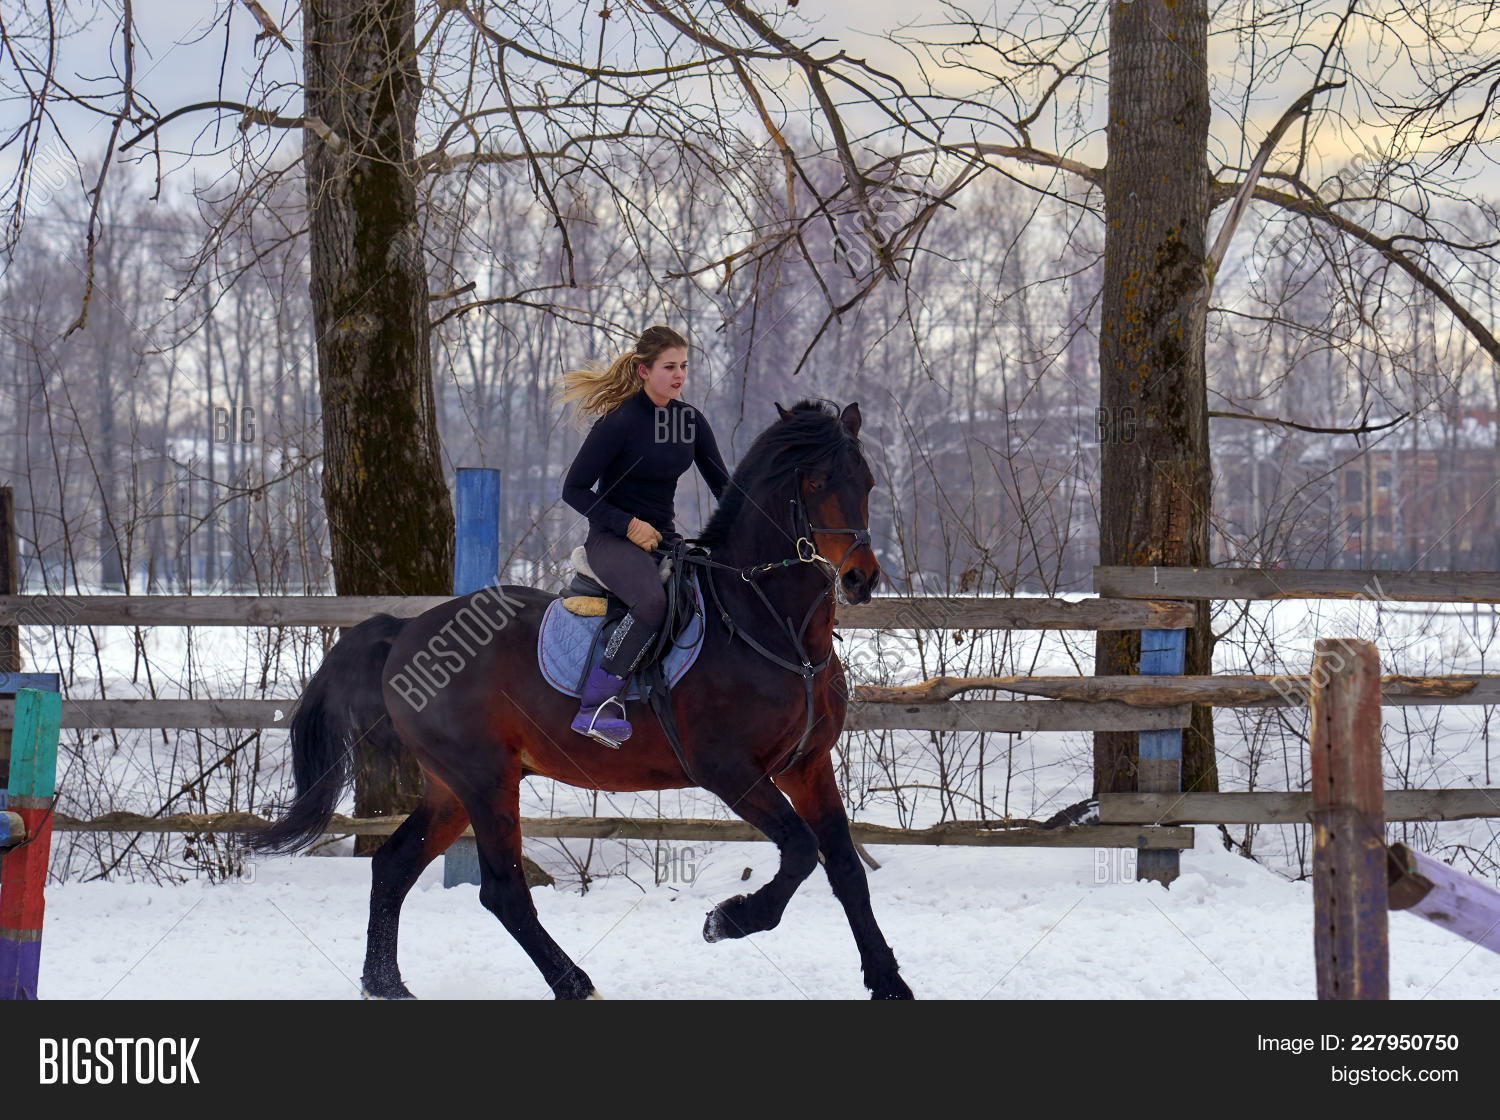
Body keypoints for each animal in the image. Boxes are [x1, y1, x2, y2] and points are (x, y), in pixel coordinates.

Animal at [247, 399, 913, 999]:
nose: (860, 579)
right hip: (484, 779)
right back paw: (573, 983)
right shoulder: (729, 770)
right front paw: (729, 919)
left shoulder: (807, 765)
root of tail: (405, 629)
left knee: (392, 866)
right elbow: (801, 850)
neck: (771, 626)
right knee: (501, 889)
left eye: (867, 481)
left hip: (453, 787)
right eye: (817, 482)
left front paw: (887, 981)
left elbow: (846, 868)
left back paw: (386, 984)